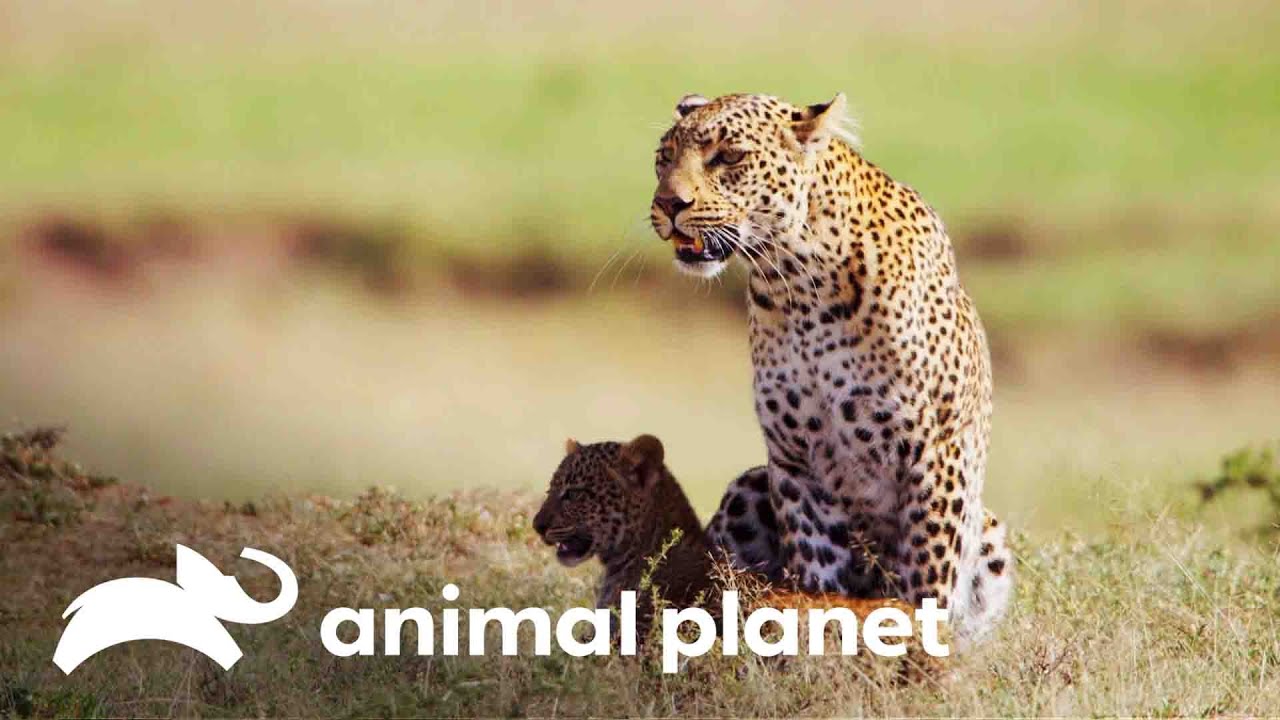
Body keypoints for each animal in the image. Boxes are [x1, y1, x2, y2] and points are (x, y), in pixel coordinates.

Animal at [648, 92, 1013, 644]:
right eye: (664, 158)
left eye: (728, 157)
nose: (670, 204)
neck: (798, 287)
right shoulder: (798, 465)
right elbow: (819, 577)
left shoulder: (935, 455)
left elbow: (927, 583)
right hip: (747, 487)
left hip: (988, 533)